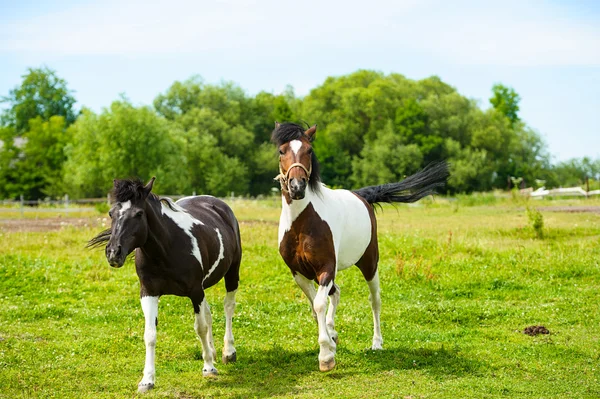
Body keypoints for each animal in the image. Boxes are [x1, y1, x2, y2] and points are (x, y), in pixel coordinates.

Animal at [87, 179, 241, 394]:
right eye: (111, 213)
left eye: (139, 214)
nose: (113, 253)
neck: (167, 249)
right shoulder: (149, 293)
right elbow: (150, 334)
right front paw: (147, 380)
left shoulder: (195, 292)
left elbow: (200, 327)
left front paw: (209, 368)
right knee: (209, 313)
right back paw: (213, 351)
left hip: (232, 272)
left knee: (228, 307)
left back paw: (228, 352)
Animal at [270, 122, 446, 372]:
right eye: (281, 151)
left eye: (309, 151)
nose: (297, 187)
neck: (303, 223)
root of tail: (361, 195)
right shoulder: (299, 273)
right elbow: (315, 306)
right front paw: (330, 342)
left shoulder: (325, 268)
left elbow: (319, 305)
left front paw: (326, 356)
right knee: (336, 293)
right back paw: (334, 333)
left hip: (370, 263)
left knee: (374, 300)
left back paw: (377, 343)